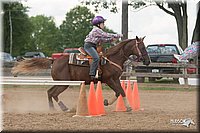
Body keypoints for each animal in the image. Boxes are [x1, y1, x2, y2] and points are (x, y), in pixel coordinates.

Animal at [11, 36, 150, 112]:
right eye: (142, 47)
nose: (148, 61)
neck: (111, 58)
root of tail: (54, 60)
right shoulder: (109, 80)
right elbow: (121, 91)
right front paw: (128, 107)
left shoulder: (115, 79)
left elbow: (119, 92)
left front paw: (106, 102)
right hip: (63, 83)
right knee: (52, 93)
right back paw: (63, 108)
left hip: (61, 82)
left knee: (50, 92)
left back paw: (57, 108)